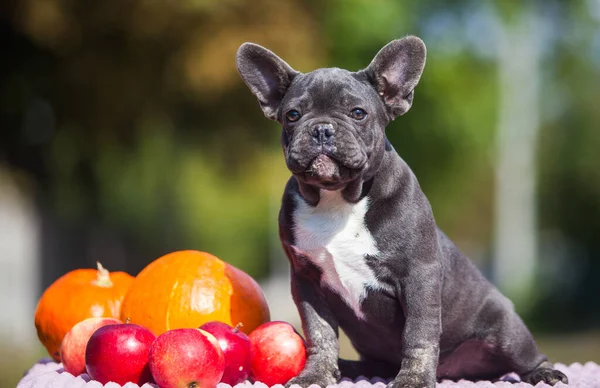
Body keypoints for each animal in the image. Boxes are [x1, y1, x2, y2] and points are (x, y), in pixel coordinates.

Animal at [234, 36, 568, 388]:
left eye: (358, 113)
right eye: (293, 115)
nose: (322, 129)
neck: (338, 199)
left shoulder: (418, 276)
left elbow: (419, 333)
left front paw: (415, 378)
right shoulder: (306, 281)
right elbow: (320, 332)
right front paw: (316, 373)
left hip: (506, 329)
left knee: (526, 355)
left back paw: (543, 372)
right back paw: (348, 368)